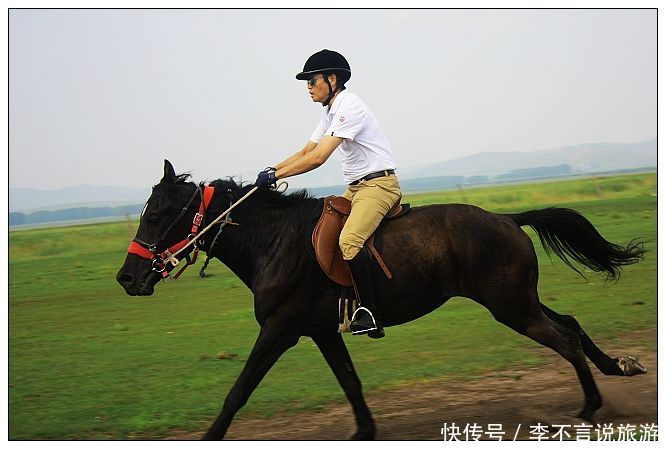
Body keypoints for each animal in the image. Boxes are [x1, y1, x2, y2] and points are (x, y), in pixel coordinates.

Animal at [116, 160, 647, 440]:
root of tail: (506, 218)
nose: (126, 277)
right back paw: (618, 367)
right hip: (518, 302)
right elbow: (350, 382)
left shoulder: (279, 331)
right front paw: (365, 431)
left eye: (156, 215)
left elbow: (239, 390)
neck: (274, 242)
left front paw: (211, 435)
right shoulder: (321, 331)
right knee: (570, 322)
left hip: (511, 308)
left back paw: (591, 406)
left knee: (564, 338)